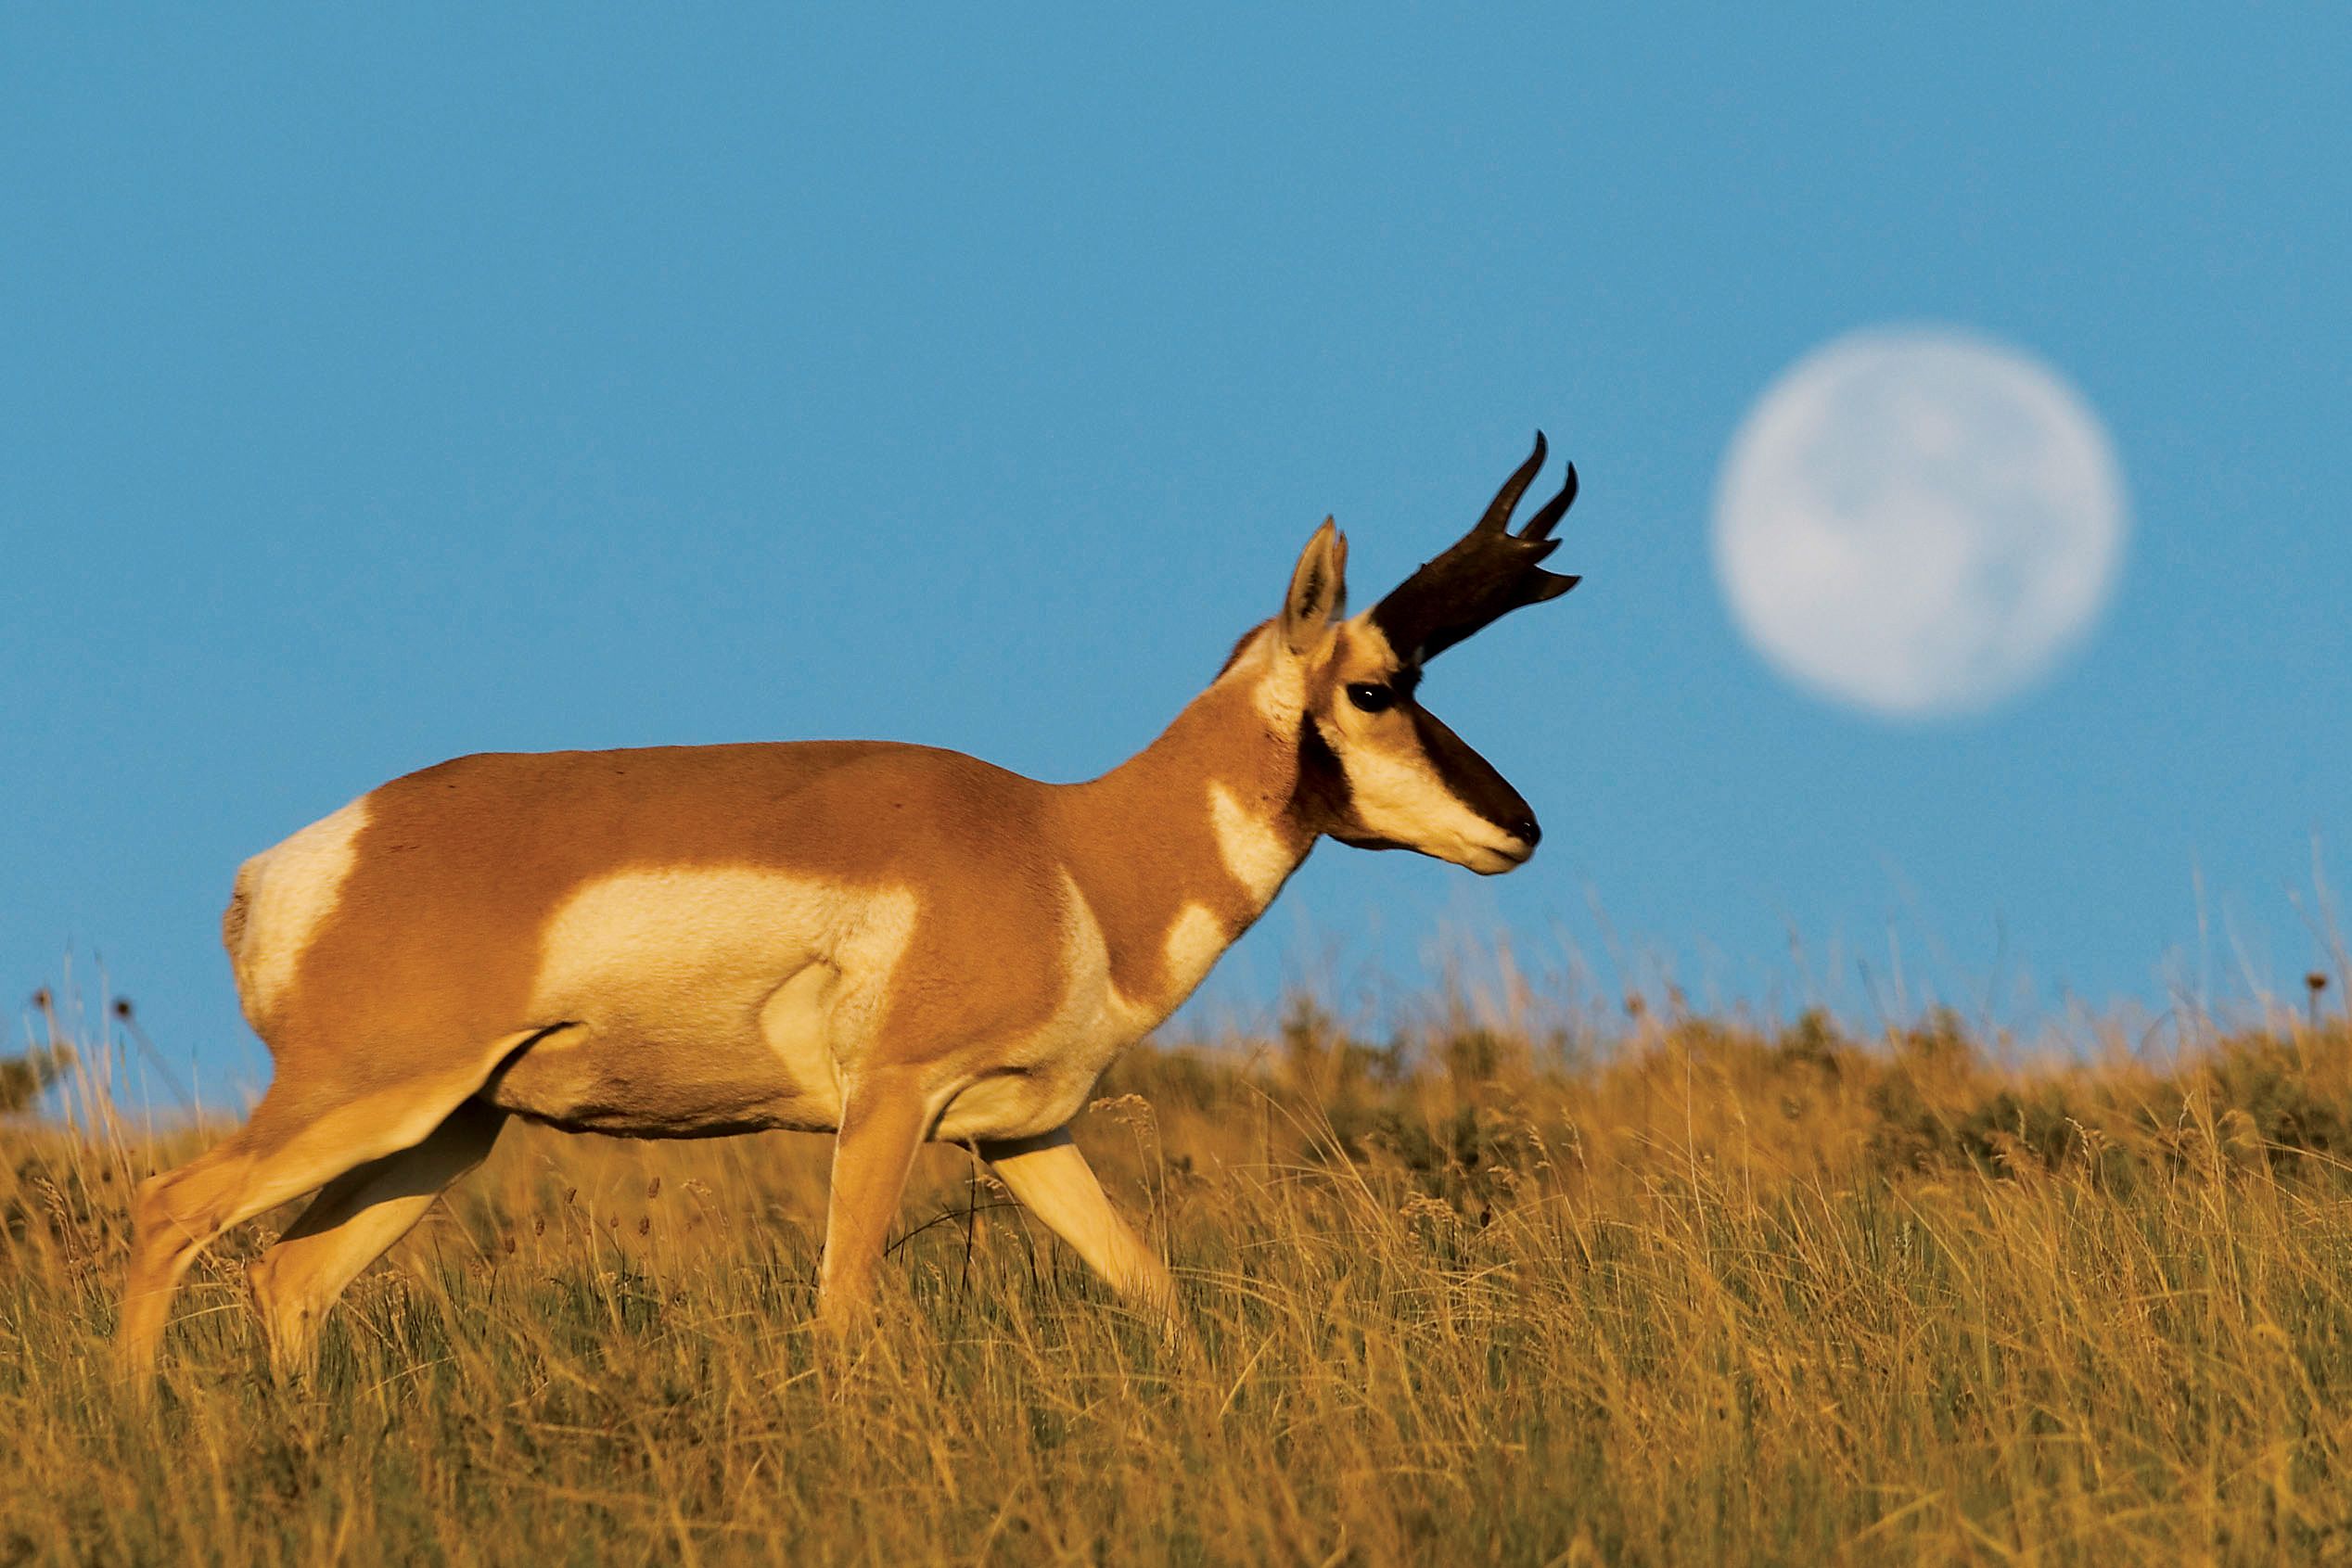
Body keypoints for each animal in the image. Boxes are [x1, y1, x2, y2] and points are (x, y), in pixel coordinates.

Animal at [117, 435, 1583, 1379]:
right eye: (1377, 686)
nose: (1521, 827)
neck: (1067, 845)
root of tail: (294, 864)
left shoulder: (1024, 1134)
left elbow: (1153, 1288)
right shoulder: (889, 1099)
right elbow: (840, 1310)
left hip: (444, 1129)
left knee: (286, 1273)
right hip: (363, 1099)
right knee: (171, 1207)